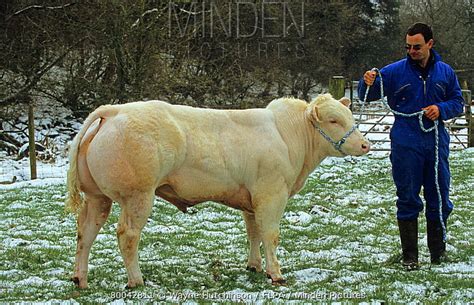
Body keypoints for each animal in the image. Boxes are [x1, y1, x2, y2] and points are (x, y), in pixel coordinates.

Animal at [66, 93, 370, 288]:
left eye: (349, 116)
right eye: (333, 120)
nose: (366, 145)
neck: (287, 135)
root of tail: (114, 110)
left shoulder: (252, 199)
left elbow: (253, 232)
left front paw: (254, 266)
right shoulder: (272, 194)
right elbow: (270, 234)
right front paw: (276, 274)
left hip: (97, 197)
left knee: (85, 232)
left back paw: (80, 279)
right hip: (138, 195)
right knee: (127, 235)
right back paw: (136, 281)